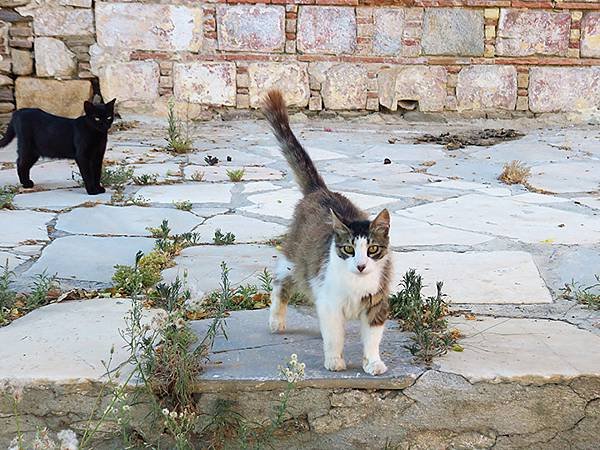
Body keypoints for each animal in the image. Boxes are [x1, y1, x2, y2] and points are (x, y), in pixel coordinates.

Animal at [262, 89, 394, 374]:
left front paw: (372, 362)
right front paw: (334, 360)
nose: (361, 265)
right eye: (348, 249)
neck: (356, 284)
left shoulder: (376, 303)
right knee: (280, 284)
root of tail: (320, 191)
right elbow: (335, 335)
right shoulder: (331, 303)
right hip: (294, 263)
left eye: (372, 249)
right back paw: (276, 321)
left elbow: (372, 338)